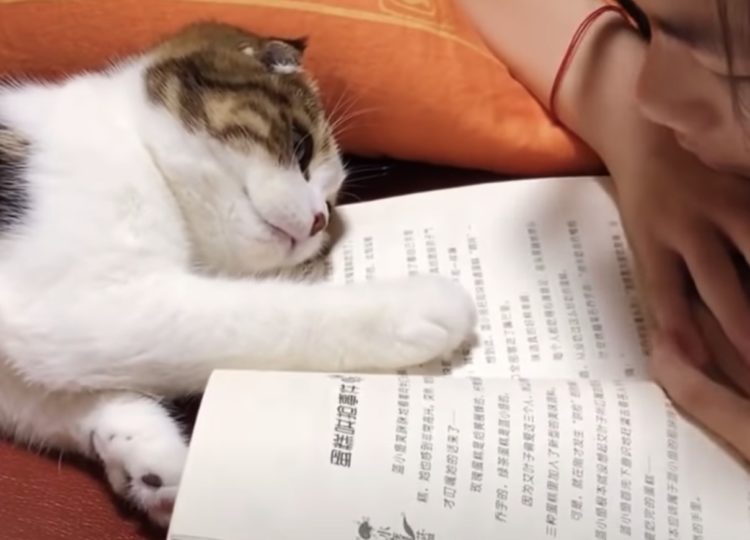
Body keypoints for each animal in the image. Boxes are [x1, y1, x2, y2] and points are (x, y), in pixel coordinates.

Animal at [0, 22, 476, 527]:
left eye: (330, 205)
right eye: (301, 147)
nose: (318, 221)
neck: (136, 148)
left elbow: (59, 399)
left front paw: (151, 464)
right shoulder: (83, 302)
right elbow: (268, 315)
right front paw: (418, 304)